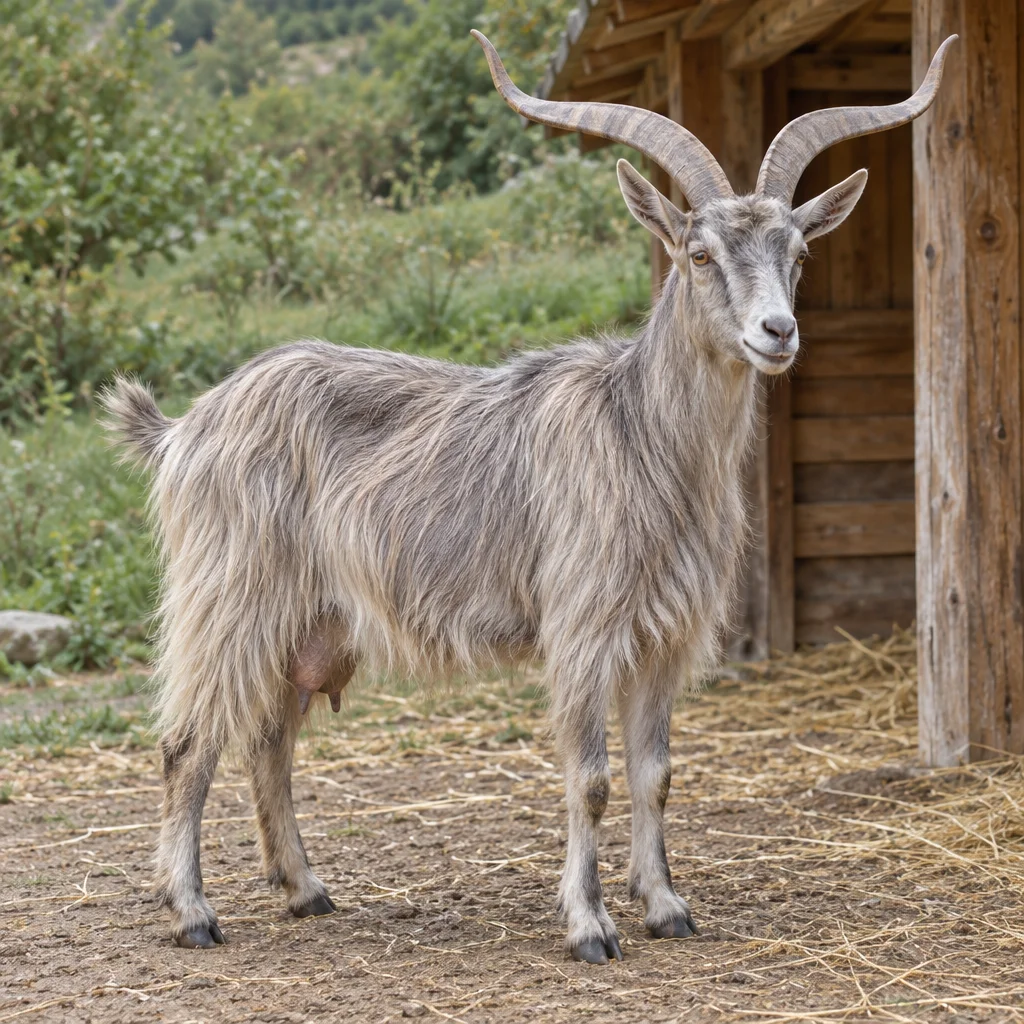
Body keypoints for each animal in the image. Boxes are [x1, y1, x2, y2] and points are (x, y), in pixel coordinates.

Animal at [104, 32, 955, 963]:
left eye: (798, 255)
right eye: (698, 255)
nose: (778, 333)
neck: (641, 437)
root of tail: (184, 429)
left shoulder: (665, 638)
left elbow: (657, 774)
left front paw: (666, 906)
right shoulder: (583, 629)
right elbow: (591, 779)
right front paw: (590, 926)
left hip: (311, 618)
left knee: (269, 743)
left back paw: (306, 890)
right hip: (228, 596)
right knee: (188, 740)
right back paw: (192, 912)